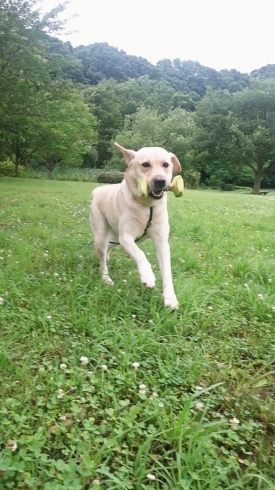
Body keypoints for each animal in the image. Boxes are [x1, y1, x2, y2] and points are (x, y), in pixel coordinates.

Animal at [89, 142, 182, 308]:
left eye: (166, 164)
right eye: (145, 164)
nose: (160, 181)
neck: (148, 206)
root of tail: (97, 190)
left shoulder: (162, 242)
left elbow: (167, 271)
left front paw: (170, 298)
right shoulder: (126, 237)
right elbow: (140, 253)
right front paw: (147, 275)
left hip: (114, 237)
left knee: (109, 247)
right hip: (101, 235)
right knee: (102, 259)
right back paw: (106, 278)